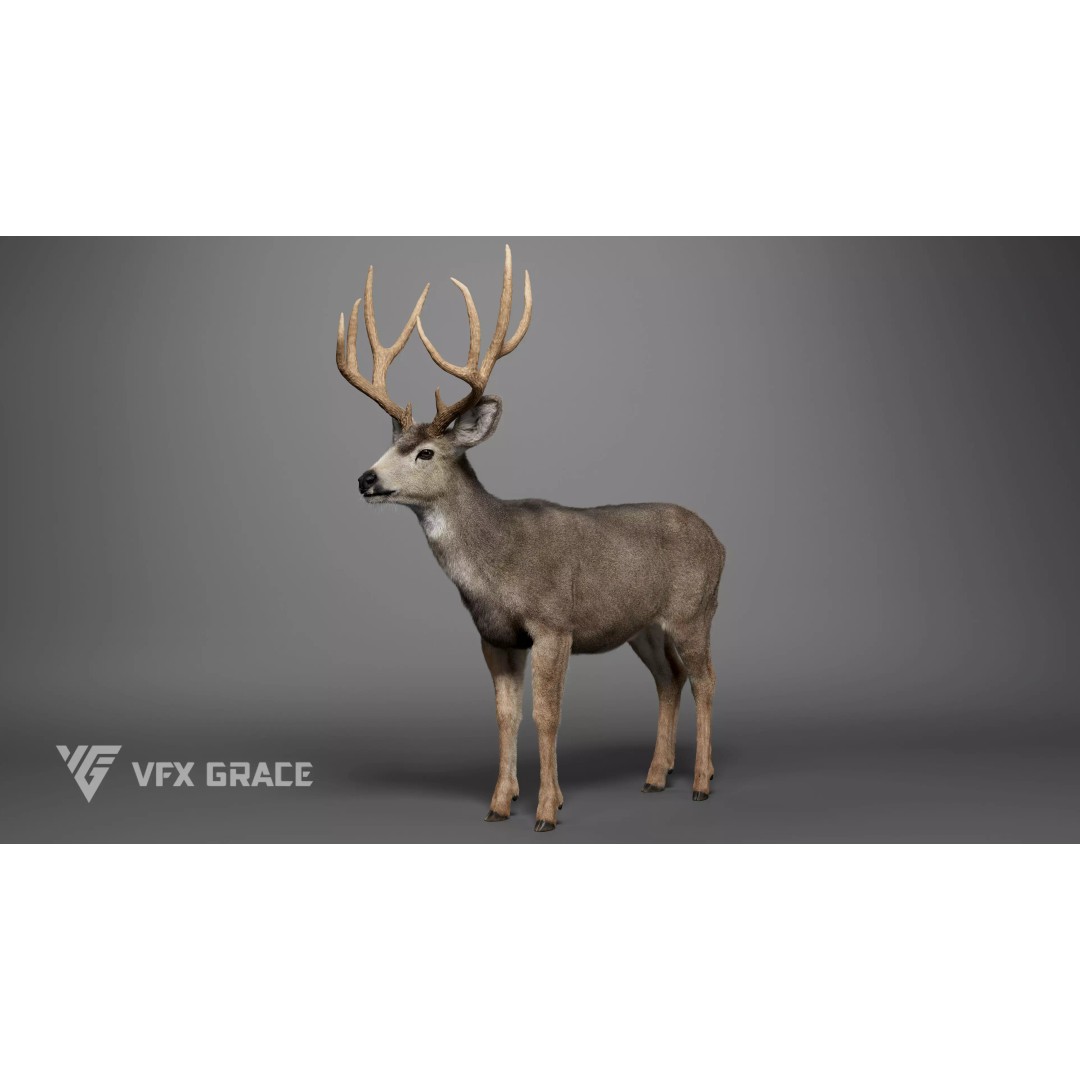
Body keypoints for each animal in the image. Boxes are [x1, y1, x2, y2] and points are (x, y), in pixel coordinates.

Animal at [335, 246, 725, 832]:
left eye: (425, 453)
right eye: (392, 446)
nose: (366, 479)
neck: (497, 564)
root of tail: (721, 542)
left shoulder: (553, 623)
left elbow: (546, 714)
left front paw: (546, 810)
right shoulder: (495, 635)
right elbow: (506, 715)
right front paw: (500, 803)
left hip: (694, 610)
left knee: (705, 680)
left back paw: (700, 782)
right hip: (643, 626)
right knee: (670, 678)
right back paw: (656, 776)